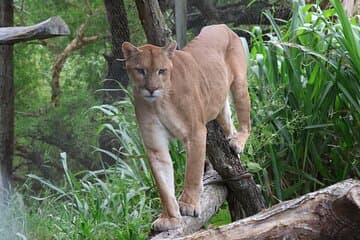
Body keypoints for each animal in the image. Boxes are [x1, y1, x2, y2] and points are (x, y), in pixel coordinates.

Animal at [121, 23, 250, 231]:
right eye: (140, 70)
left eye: (161, 71)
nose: (151, 89)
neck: (159, 102)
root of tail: (221, 25)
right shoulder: (155, 146)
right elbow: (163, 185)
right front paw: (170, 218)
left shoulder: (195, 133)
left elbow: (192, 171)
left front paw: (188, 205)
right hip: (218, 101)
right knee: (227, 122)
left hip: (239, 84)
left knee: (246, 121)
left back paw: (238, 142)